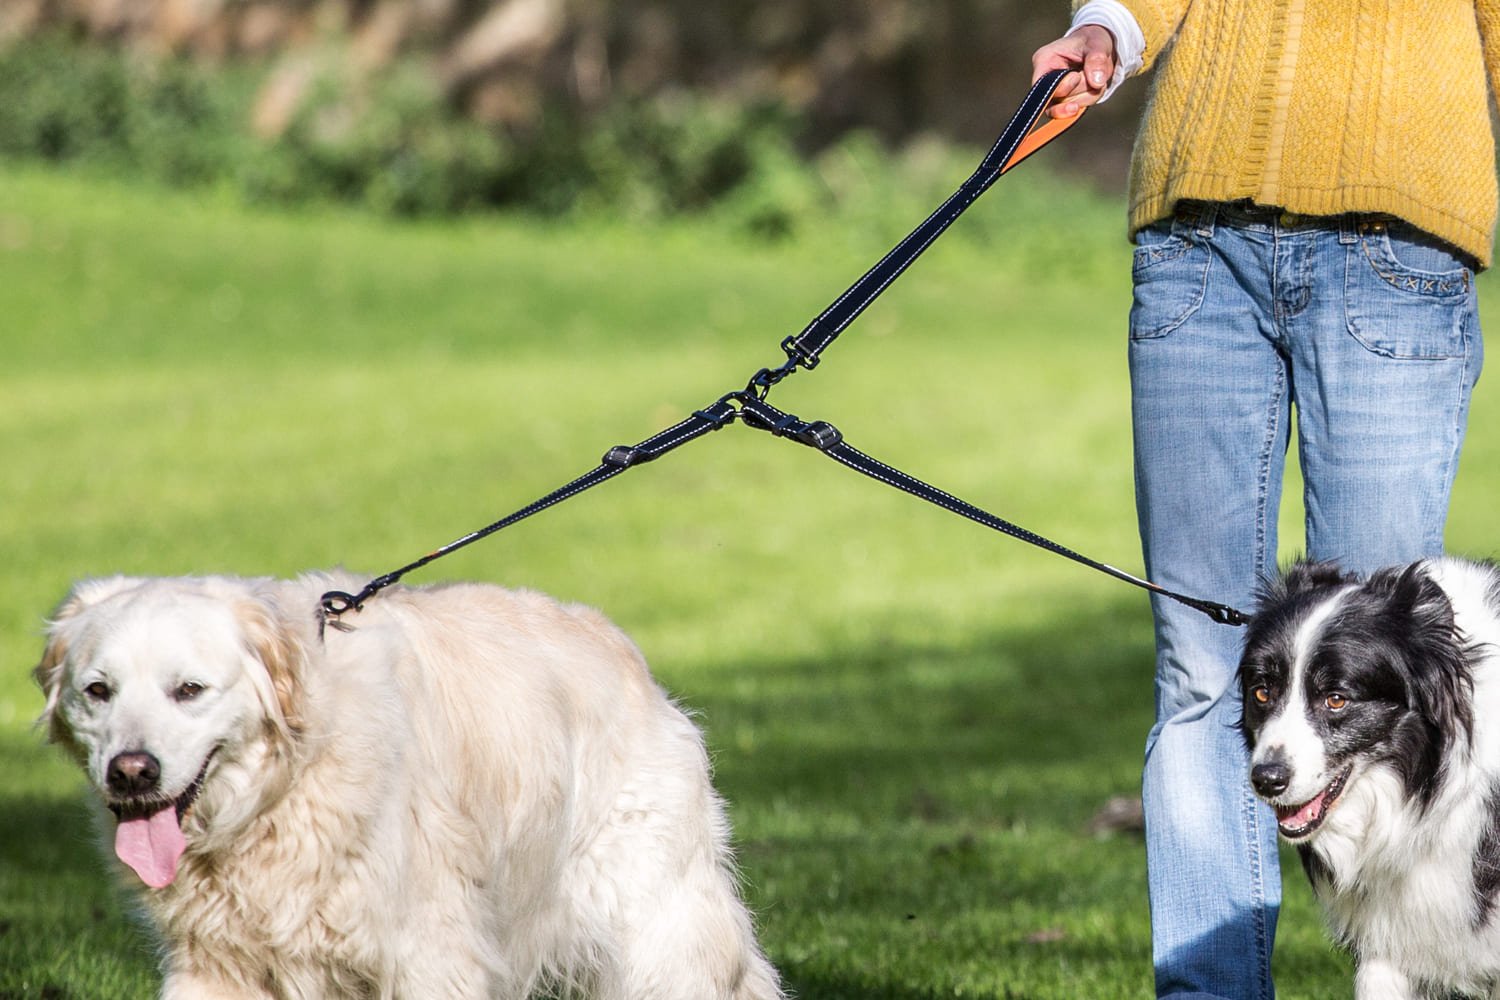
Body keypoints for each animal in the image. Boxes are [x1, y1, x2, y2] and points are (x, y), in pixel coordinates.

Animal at [35, 569, 786, 1000]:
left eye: (188, 690)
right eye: (98, 691)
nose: (132, 772)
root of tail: (622, 651)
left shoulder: (427, 957)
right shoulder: (219, 966)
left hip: (657, 930)